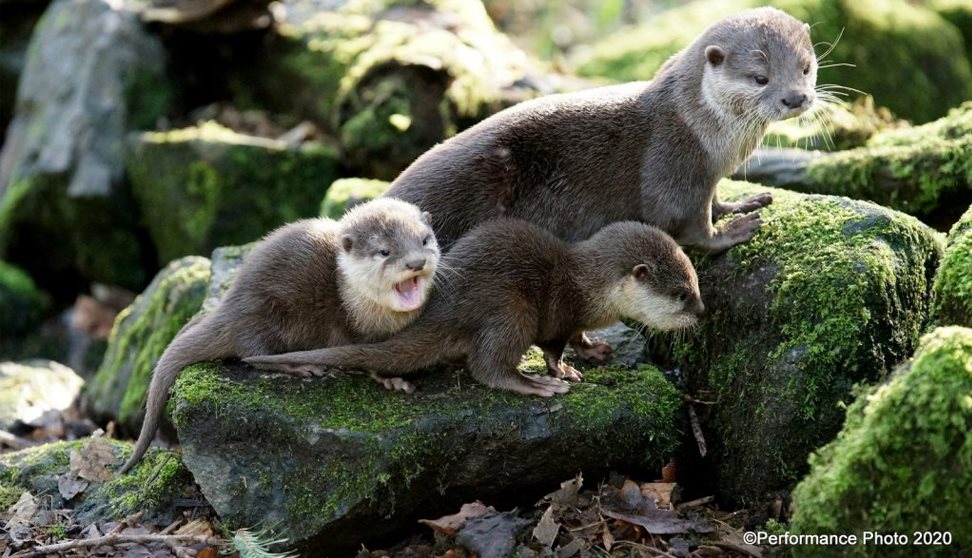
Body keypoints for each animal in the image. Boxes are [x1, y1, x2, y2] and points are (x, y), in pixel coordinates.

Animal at [119, 199, 438, 474]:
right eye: (384, 251)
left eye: (424, 240)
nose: (415, 263)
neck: (356, 298)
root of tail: (233, 307)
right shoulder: (353, 331)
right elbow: (368, 357)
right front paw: (392, 379)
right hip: (269, 317)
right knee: (253, 356)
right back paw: (300, 366)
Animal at [242, 220, 700, 398]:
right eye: (681, 294)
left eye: (695, 282)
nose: (702, 312)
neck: (590, 290)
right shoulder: (560, 312)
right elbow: (554, 348)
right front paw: (562, 372)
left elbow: (579, 338)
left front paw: (595, 349)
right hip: (512, 308)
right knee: (487, 367)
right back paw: (531, 384)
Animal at [384, 7, 816, 253]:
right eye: (760, 78)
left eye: (806, 67)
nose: (795, 98)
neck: (702, 127)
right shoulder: (674, 159)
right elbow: (684, 224)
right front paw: (730, 231)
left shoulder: (707, 175)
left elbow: (713, 200)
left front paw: (739, 204)